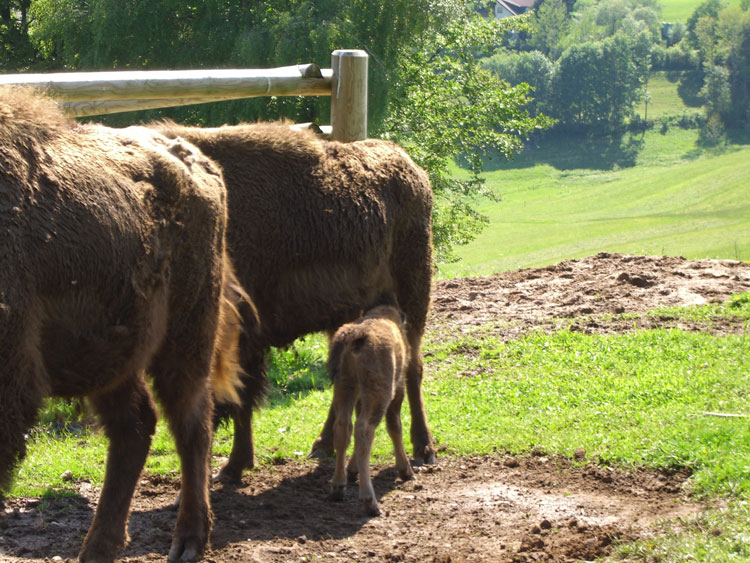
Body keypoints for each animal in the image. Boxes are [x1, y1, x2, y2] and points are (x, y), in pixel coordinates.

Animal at [0, 86, 242, 560]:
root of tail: (201, 163)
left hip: (187, 337)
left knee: (191, 422)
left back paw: (188, 540)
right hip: (113, 355)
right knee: (136, 424)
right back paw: (99, 546)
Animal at [156, 121, 438, 482]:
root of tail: (412, 168)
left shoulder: (244, 336)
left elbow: (242, 397)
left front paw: (233, 467)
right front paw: (235, 465)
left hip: (414, 294)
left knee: (413, 368)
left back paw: (424, 448)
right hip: (347, 317)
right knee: (344, 382)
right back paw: (324, 445)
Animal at [328, 304, 414, 516]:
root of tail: (356, 334)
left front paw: (352, 470)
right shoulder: (398, 388)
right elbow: (395, 426)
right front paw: (405, 470)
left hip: (345, 387)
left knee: (343, 428)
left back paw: (338, 487)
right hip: (379, 394)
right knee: (364, 430)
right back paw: (370, 502)